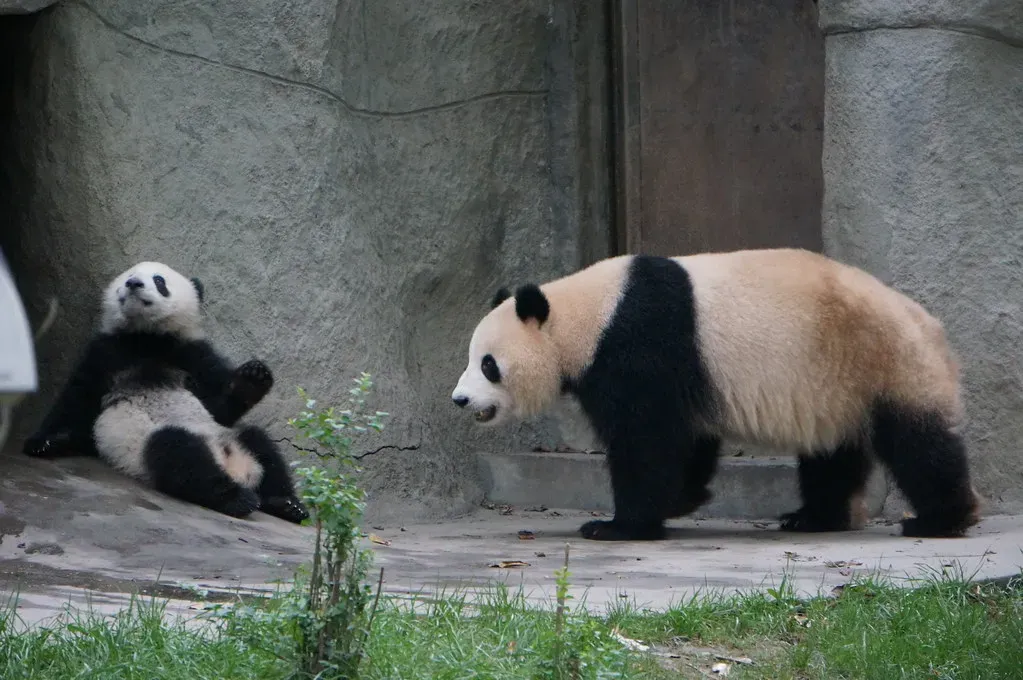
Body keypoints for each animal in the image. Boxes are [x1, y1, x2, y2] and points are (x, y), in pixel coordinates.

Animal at [23, 261, 308, 524]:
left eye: (159, 281)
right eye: (128, 276)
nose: (134, 284)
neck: (147, 338)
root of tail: (235, 468)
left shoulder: (191, 353)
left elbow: (219, 406)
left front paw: (254, 376)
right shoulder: (106, 353)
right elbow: (77, 399)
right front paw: (44, 442)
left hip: (229, 437)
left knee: (260, 445)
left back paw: (286, 504)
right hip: (152, 447)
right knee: (180, 455)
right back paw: (237, 497)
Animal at [451, 248, 981, 541]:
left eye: (488, 365)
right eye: (473, 358)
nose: (460, 400)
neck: (586, 314)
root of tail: (932, 327)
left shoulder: (640, 342)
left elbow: (646, 439)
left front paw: (617, 527)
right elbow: (686, 439)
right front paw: (681, 500)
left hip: (885, 363)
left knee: (919, 445)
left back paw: (940, 519)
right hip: (836, 386)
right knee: (833, 454)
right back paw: (813, 518)